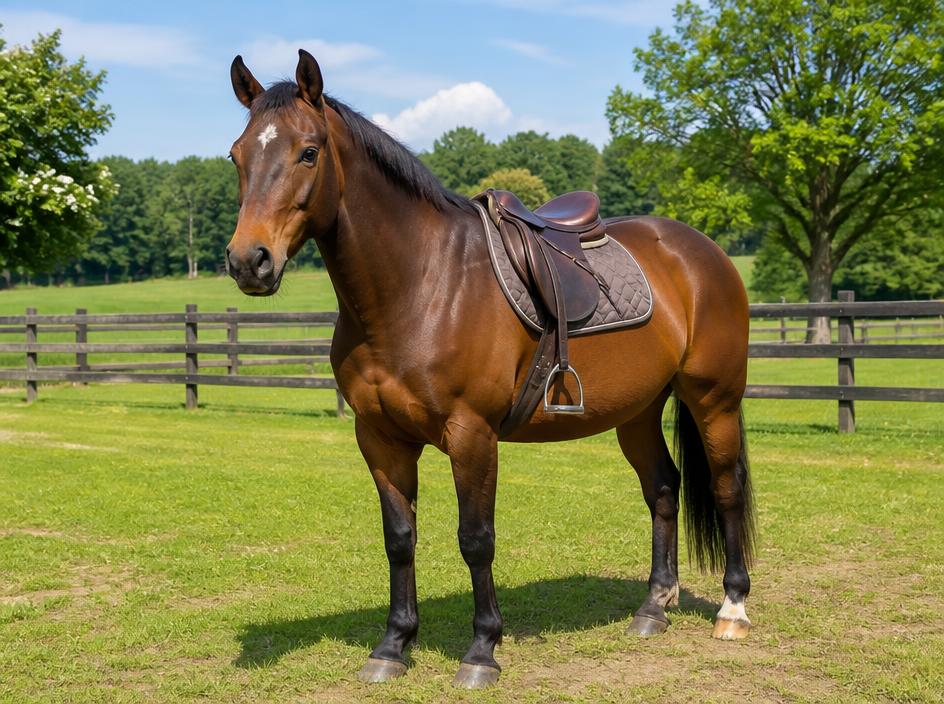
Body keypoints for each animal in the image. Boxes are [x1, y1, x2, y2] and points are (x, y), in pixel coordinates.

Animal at [225, 49, 755, 689]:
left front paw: (482, 651)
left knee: (726, 489)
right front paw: (392, 646)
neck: (420, 285)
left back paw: (732, 609)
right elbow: (399, 539)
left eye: (308, 151)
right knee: (662, 489)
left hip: (713, 399)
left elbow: (475, 540)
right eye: (237, 155)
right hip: (637, 411)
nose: (248, 261)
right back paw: (654, 607)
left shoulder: (471, 434)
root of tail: (701, 251)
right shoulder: (379, 438)